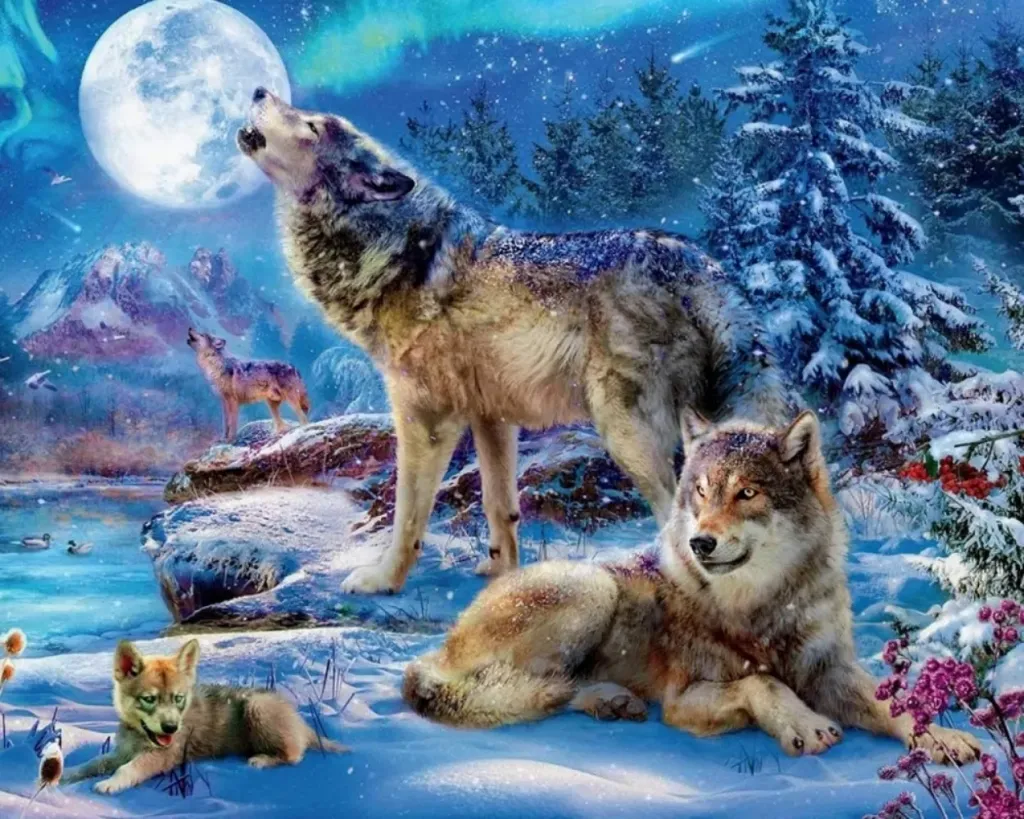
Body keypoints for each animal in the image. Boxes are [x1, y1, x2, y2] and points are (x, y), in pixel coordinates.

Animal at [63, 639, 348, 794]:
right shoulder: (121, 752)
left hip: (257, 707)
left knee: (294, 755)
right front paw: (65, 774)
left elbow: (129, 768)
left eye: (178, 698)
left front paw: (111, 784)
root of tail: (301, 723)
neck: (140, 736)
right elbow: (94, 763)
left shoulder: (162, 756)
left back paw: (262, 759)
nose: (171, 728)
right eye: (149, 699)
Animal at [237, 87, 790, 595]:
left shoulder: (425, 416)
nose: (260, 89)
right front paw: (502, 576)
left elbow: (408, 514)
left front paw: (382, 580)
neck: (398, 248)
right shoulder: (492, 419)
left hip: (626, 433)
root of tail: (703, 266)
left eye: (311, 125)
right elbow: (500, 505)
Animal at [401, 411, 981, 764]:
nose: (701, 542)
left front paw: (944, 738)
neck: (764, 607)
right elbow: (762, 682)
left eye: (746, 493)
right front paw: (804, 725)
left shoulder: (830, 670)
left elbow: (895, 704)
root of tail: (434, 653)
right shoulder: (684, 700)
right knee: (518, 687)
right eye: (700, 491)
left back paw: (612, 701)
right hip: (591, 588)